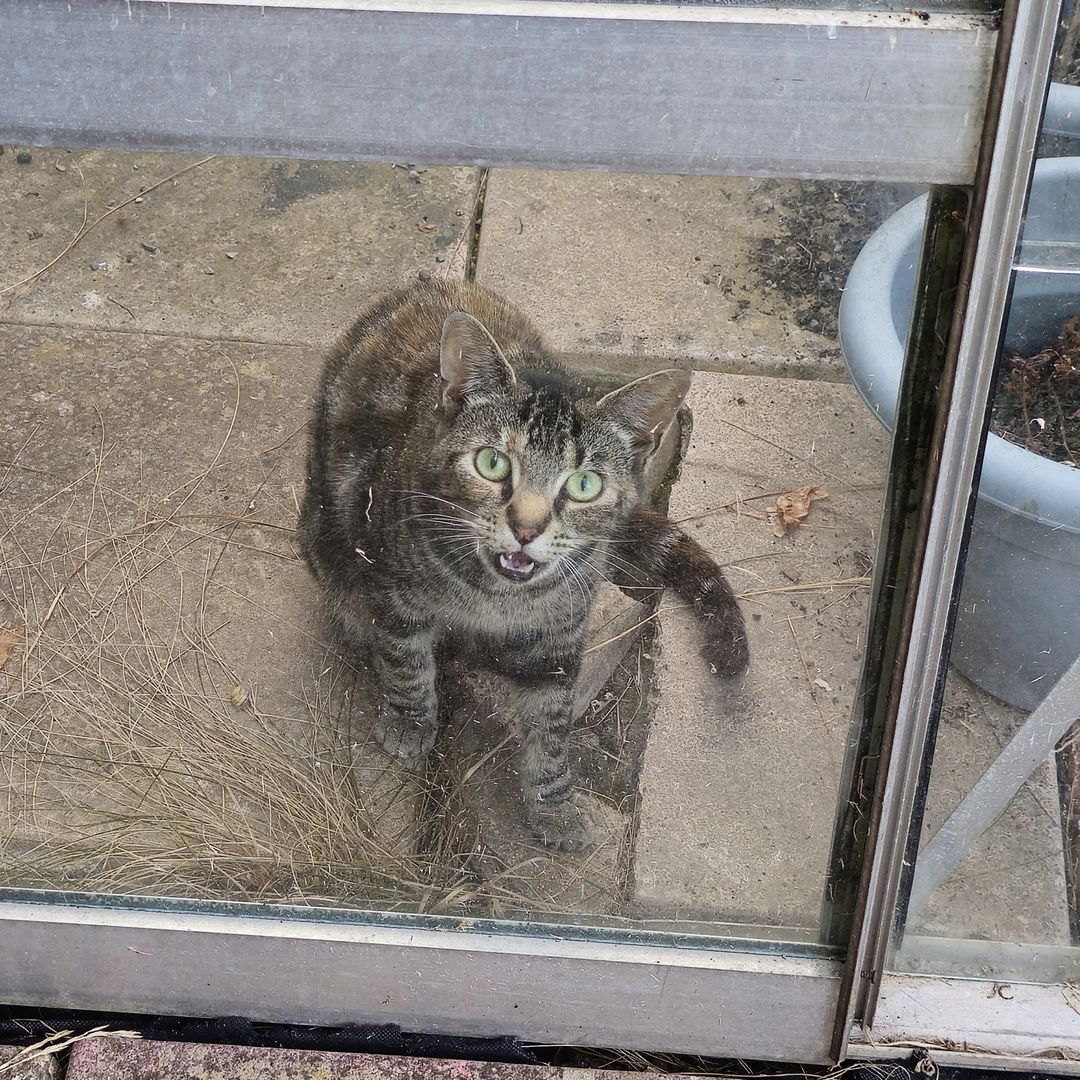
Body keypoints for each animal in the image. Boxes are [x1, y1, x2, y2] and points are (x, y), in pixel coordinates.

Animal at [297, 276, 748, 850]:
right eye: (492, 463)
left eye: (584, 484)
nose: (527, 529)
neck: (495, 597)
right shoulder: (391, 583)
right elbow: (404, 656)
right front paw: (410, 721)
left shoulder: (557, 636)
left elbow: (551, 721)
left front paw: (552, 803)